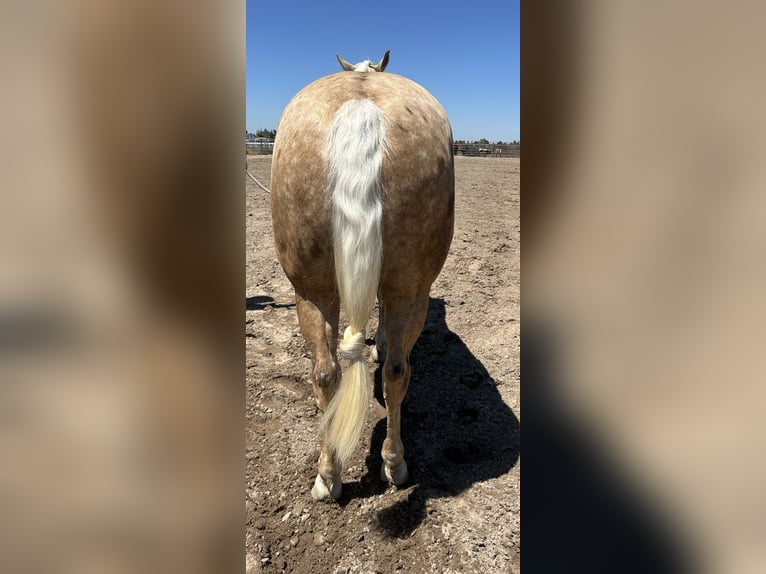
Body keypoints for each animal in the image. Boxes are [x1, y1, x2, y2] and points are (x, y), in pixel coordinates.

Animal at [270, 51, 455, 501]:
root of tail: (361, 107)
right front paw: (380, 345)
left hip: (313, 292)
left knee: (327, 372)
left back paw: (328, 475)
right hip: (410, 291)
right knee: (396, 371)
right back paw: (395, 464)